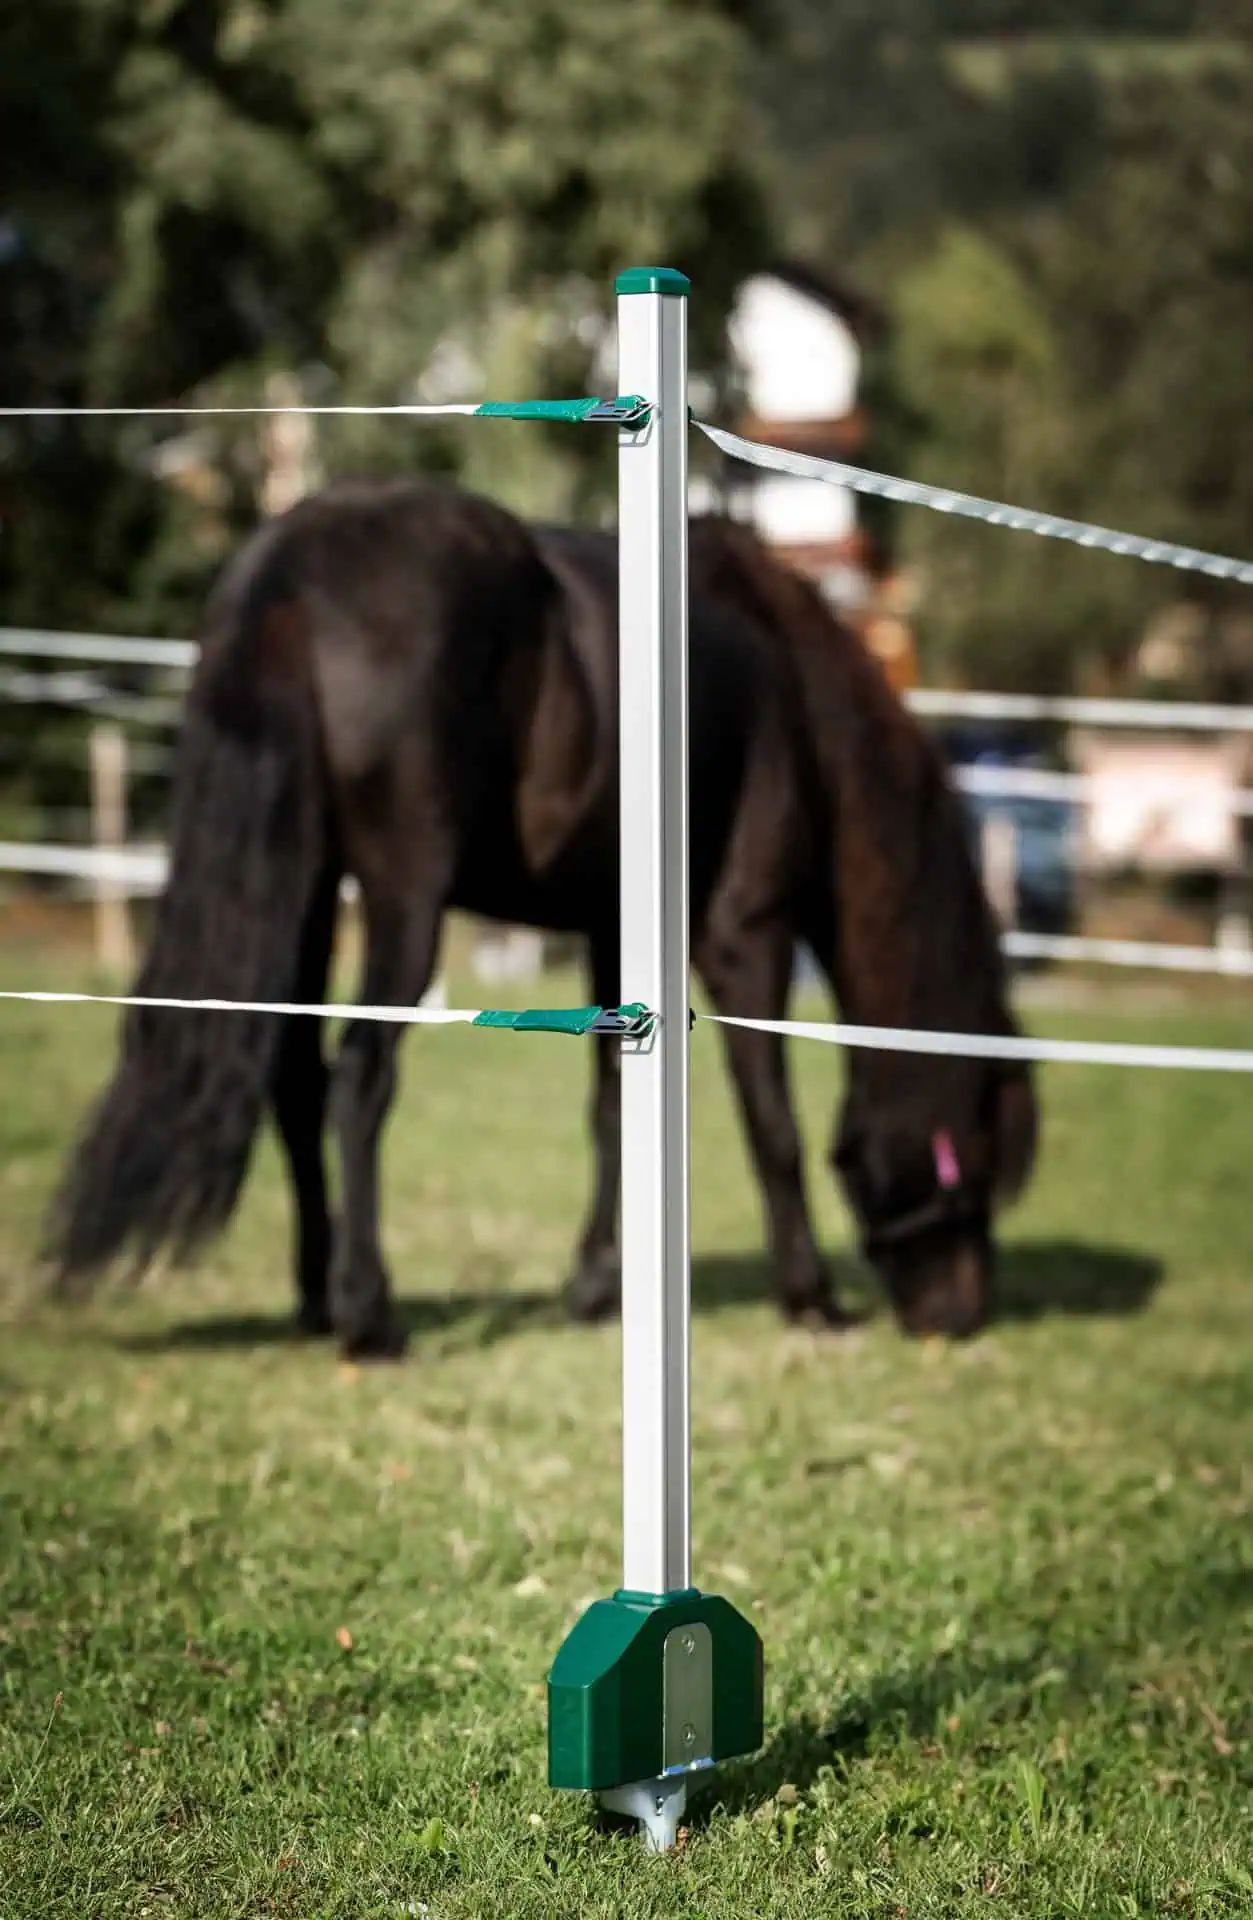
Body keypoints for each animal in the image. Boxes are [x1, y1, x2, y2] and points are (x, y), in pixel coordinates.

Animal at [50, 480, 1036, 1357]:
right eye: (980, 1157)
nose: (959, 1316)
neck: (787, 685)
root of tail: (292, 565)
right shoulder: (745, 928)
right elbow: (773, 1123)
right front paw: (812, 1300)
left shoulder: (611, 926)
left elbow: (611, 1103)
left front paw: (596, 1287)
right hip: (402, 899)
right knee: (359, 1079)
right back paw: (371, 1318)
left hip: (309, 881)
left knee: (292, 1078)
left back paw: (319, 1300)